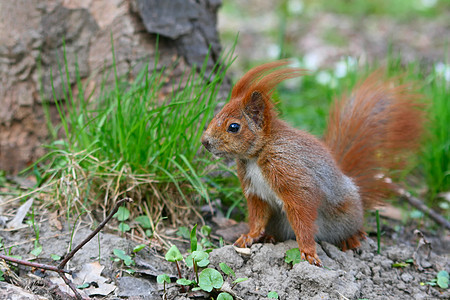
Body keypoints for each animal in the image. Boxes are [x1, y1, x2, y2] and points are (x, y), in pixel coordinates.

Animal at [202, 60, 424, 264]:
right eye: (215, 115)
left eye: (233, 127)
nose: (205, 142)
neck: (255, 156)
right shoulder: (255, 191)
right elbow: (257, 216)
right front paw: (250, 235)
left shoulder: (290, 172)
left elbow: (303, 213)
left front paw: (308, 251)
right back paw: (270, 237)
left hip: (345, 215)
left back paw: (351, 238)